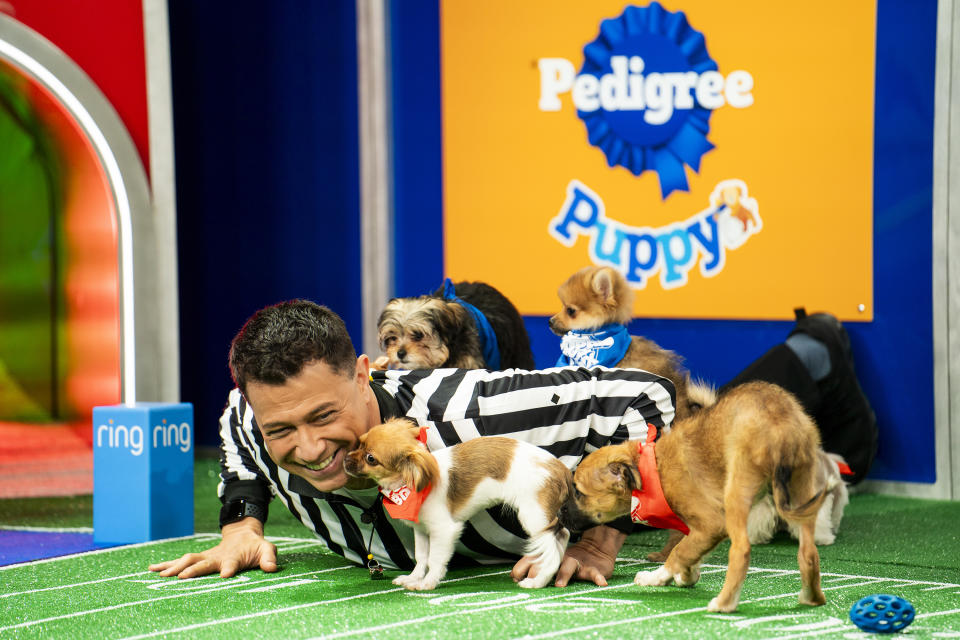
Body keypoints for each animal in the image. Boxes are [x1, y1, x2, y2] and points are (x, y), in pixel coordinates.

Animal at [344, 420, 568, 592]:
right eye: (360, 443)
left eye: (371, 458)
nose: (345, 459)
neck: (409, 486)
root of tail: (559, 468)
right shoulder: (421, 529)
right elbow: (421, 557)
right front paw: (413, 578)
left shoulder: (445, 530)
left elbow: (434, 559)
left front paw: (427, 583)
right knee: (562, 537)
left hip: (534, 517)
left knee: (552, 549)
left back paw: (538, 581)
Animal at [564, 382, 832, 612]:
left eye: (578, 491)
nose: (559, 513)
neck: (654, 467)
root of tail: (781, 425)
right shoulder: (698, 530)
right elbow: (689, 552)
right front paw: (685, 576)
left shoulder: (712, 524)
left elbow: (678, 552)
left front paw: (656, 577)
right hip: (802, 489)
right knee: (808, 553)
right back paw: (812, 597)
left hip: (737, 492)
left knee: (741, 550)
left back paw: (724, 603)